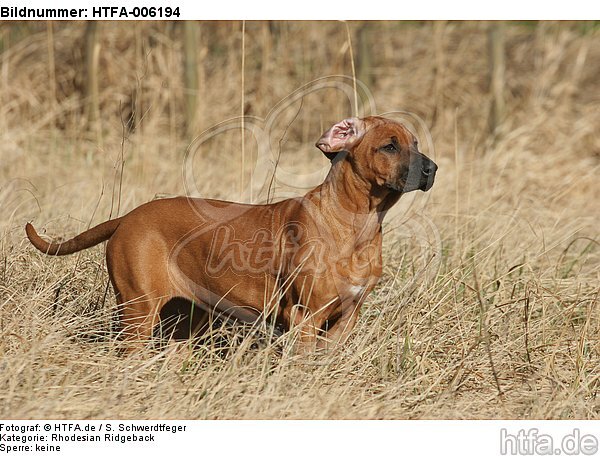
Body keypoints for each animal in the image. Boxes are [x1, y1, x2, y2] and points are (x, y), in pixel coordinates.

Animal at [25, 117, 436, 352]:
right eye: (389, 146)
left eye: (416, 143)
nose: (432, 169)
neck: (357, 223)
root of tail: (129, 216)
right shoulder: (304, 317)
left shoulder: (345, 319)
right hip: (138, 309)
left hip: (182, 318)